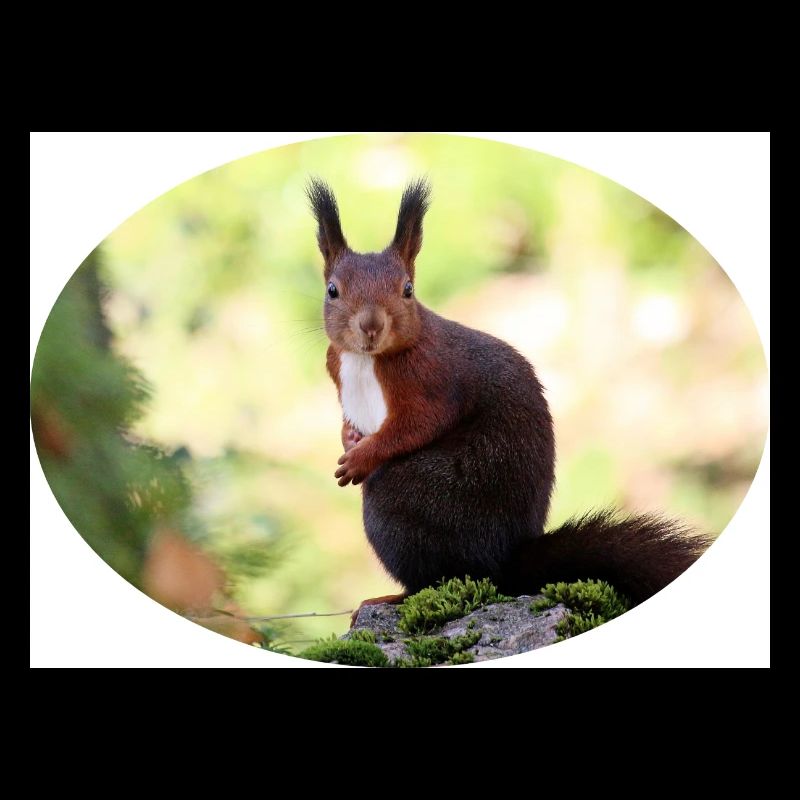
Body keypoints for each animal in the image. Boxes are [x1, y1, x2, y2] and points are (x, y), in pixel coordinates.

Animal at [307, 177, 710, 619]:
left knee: (436, 577)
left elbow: (416, 425)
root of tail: (501, 563)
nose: (371, 326)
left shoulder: (431, 380)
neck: (366, 360)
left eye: (408, 290)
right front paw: (349, 439)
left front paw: (361, 457)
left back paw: (393, 596)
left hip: (403, 502)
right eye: (332, 291)